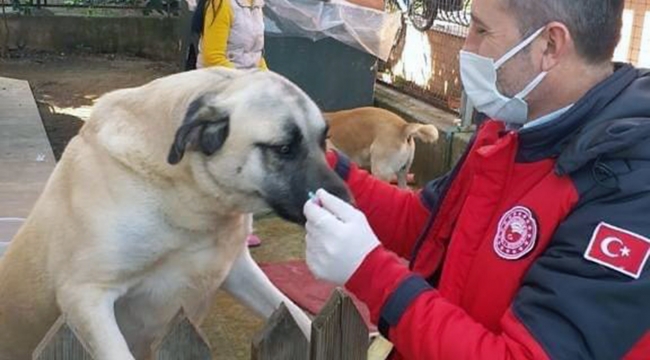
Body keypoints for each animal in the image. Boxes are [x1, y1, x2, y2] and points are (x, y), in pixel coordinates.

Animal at [0, 67, 350, 360]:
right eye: (283, 149)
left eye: (324, 140)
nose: (346, 197)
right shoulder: (86, 296)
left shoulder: (237, 270)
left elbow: (295, 313)